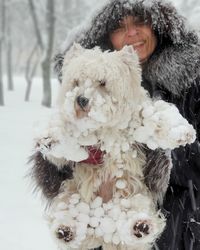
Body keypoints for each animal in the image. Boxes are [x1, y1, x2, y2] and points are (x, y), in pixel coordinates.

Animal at [34, 44, 195, 249]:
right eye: (76, 82)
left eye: (102, 82)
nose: (81, 99)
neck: (103, 128)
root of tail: (102, 228)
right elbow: (63, 134)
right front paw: (50, 138)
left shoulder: (138, 116)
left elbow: (155, 113)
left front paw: (182, 131)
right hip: (71, 193)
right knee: (68, 214)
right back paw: (66, 230)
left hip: (134, 195)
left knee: (134, 217)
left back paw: (140, 227)